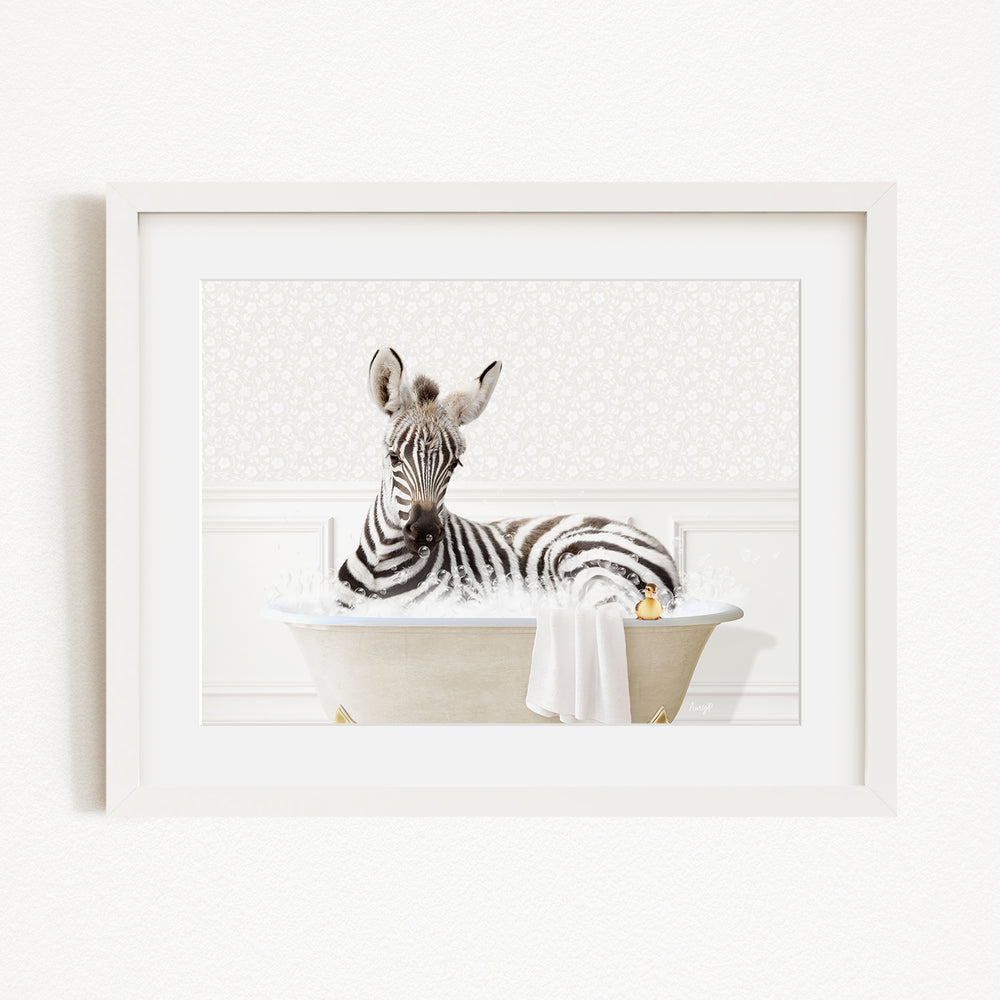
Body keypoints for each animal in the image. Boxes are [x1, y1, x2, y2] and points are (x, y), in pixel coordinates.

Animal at [334, 347, 679, 611]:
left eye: (455, 464)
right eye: (394, 457)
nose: (426, 533)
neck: (381, 567)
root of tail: (656, 544)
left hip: (586, 564)